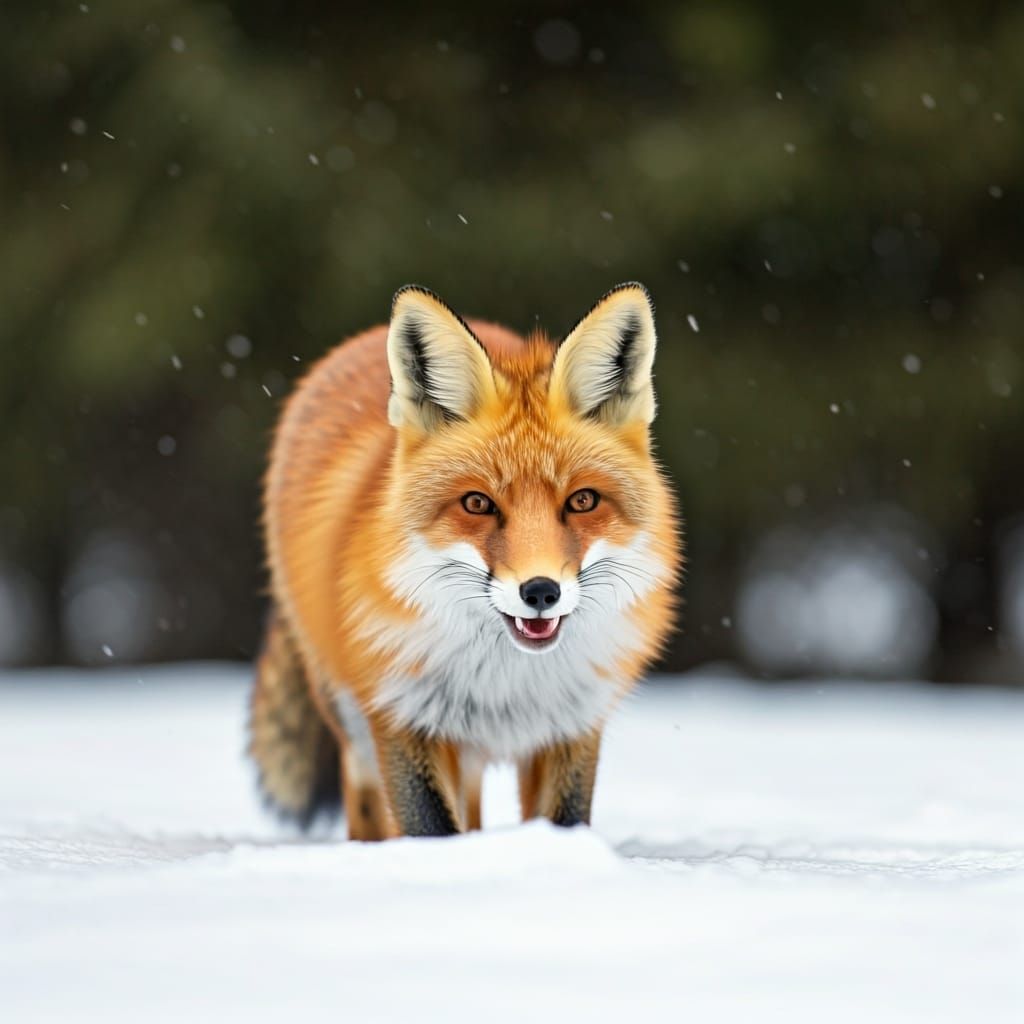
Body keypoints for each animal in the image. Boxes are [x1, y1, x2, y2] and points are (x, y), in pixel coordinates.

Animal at [249, 283, 681, 838]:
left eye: (582, 501)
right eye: (477, 503)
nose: (541, 591)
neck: (506, 685)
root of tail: (359, 341)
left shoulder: (573, 725)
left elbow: (564, 822)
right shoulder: (400, 716)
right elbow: (431, 830)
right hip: (350, 718)